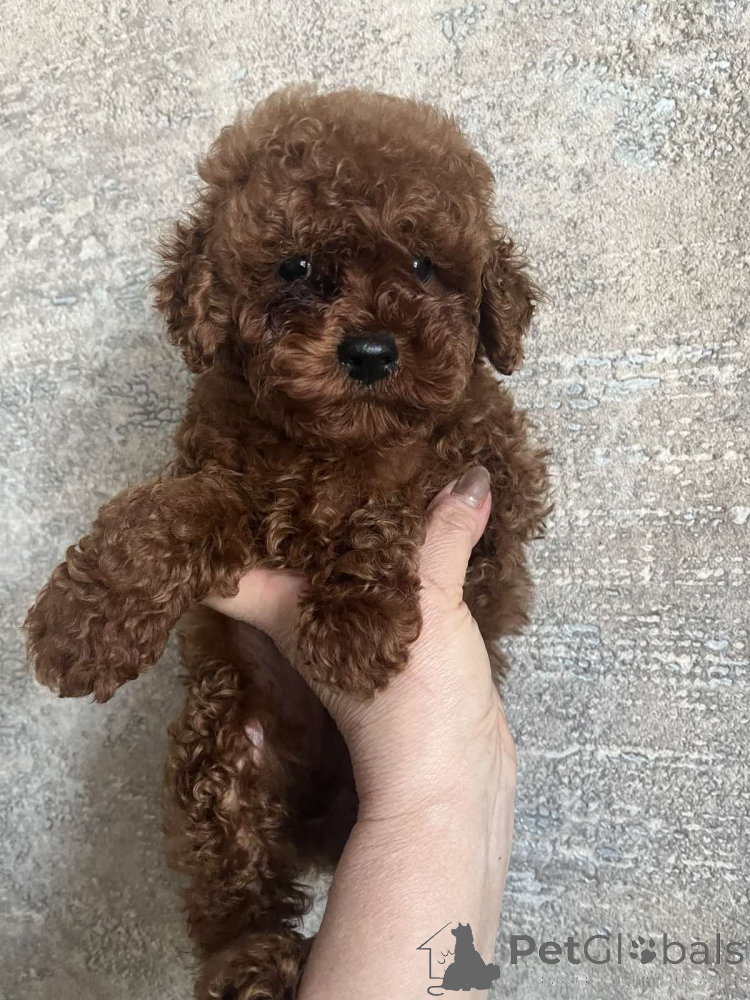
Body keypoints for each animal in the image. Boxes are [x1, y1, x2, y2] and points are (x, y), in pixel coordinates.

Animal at [25, 86, 549, 999]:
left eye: (424, 267)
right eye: (296, 268)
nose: (371, 351)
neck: (339, 438)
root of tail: (318, 823)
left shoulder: (496, 484)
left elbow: (397, 499)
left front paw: (354, 624)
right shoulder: (225, 475)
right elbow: (168, 513)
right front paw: (81, 627)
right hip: (224, 761)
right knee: (231, 891)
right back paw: (254, 965)